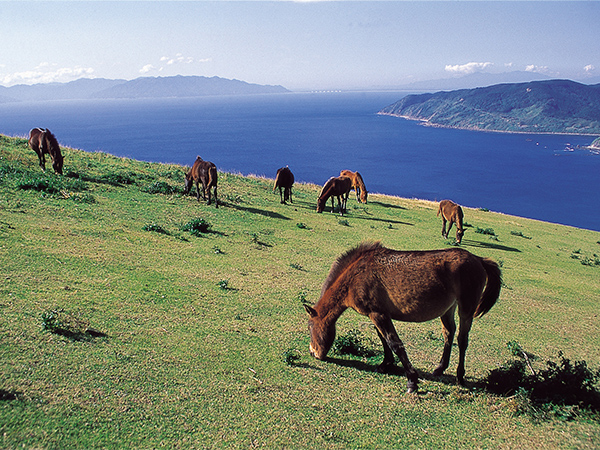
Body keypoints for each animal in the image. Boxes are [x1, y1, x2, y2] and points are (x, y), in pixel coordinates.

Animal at [304, 243, 502, 394]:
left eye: (310, 327)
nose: (314, 353)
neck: (356, 276)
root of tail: (478, 259)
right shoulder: (377, 314)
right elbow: (384, 339)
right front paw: (385, 365)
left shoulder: (378, 313)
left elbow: (394, 343)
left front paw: (412, 381)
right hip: (448, 309)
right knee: (449, 333)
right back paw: (440, 368)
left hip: (466, 309)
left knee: (462, 340)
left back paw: (460, 377)